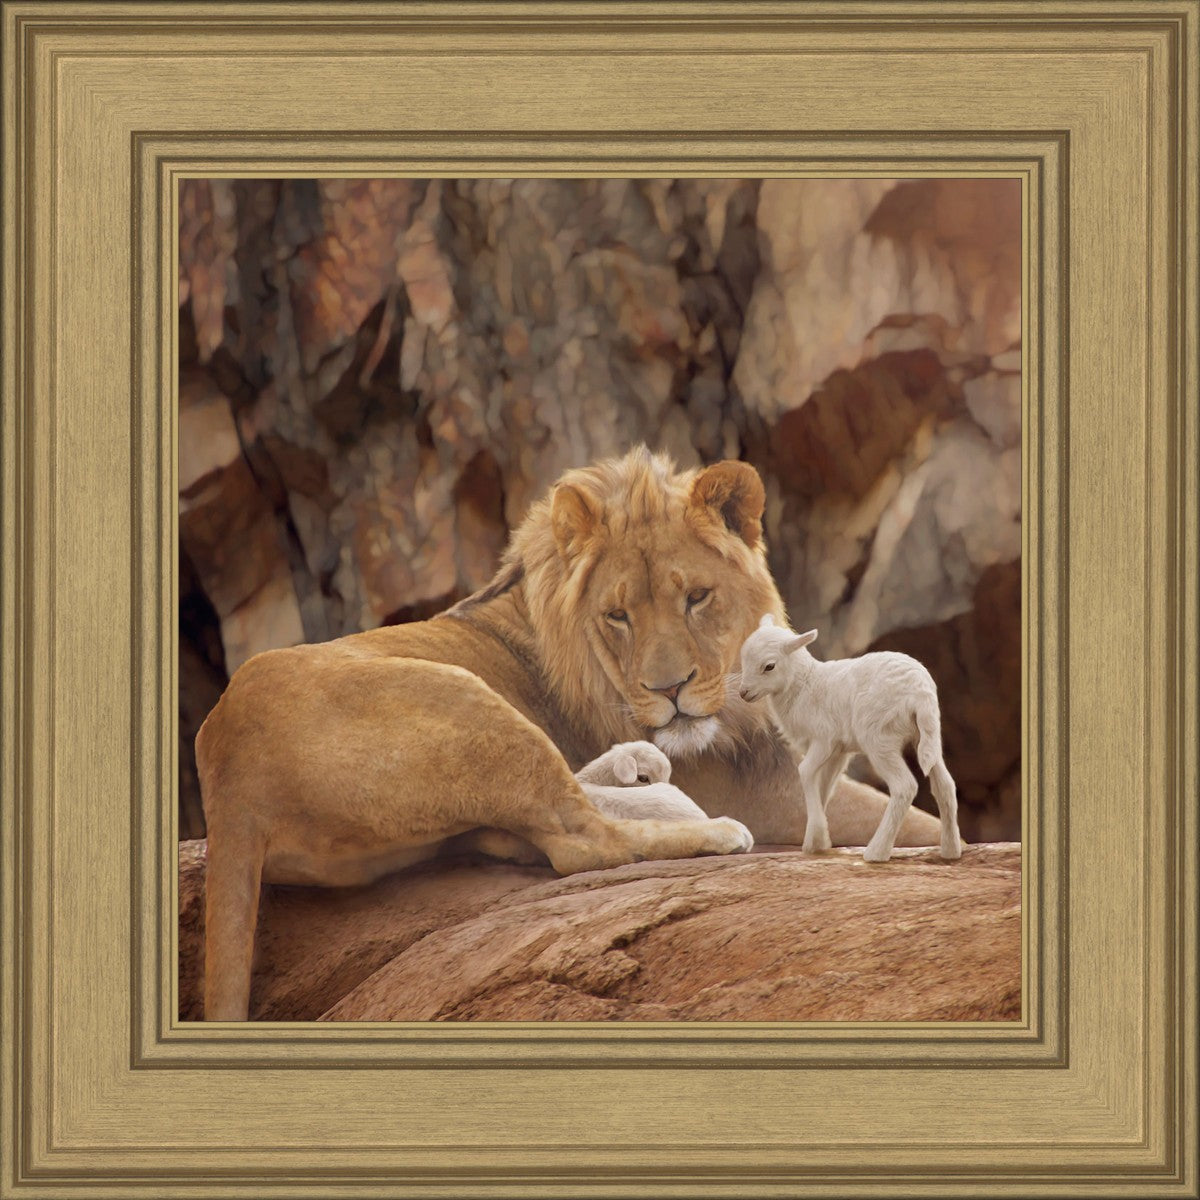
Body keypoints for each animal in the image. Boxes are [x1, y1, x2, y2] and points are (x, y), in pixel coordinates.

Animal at [196, 448, 939, 1020]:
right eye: (619, 616)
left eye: (696, 597)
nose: (670, 691)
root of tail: (226, 775)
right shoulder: (767, 794)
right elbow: (914, 818)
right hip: (465, 700)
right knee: (581, 841)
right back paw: (709, 828)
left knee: (540, 822)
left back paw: (637, 769)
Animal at [738, 614, 963, 863]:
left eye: (769, 666)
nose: (743, 693)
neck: (804, 685)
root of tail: (920, 693)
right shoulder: (838, 751)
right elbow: (824, 786)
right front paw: (816, 841)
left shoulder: (824, 739)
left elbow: (805, 772)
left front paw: (817, 838)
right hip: (927, 735)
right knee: (945, 785)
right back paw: (950, 850)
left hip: (879, 737)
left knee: (904, 786)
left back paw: (877, 852)